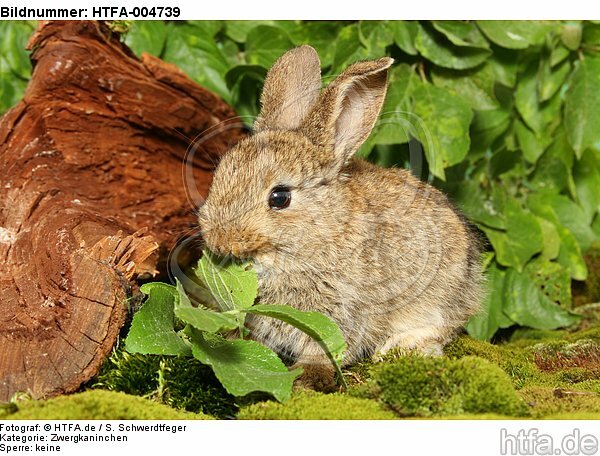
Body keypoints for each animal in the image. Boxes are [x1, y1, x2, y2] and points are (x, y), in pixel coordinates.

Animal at [197, 44, 482, 390]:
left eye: (280, 197)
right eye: (222, 171)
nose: (218, 240)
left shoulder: (342, 308)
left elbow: (325, 346)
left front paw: (309, 376)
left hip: (439, 294)